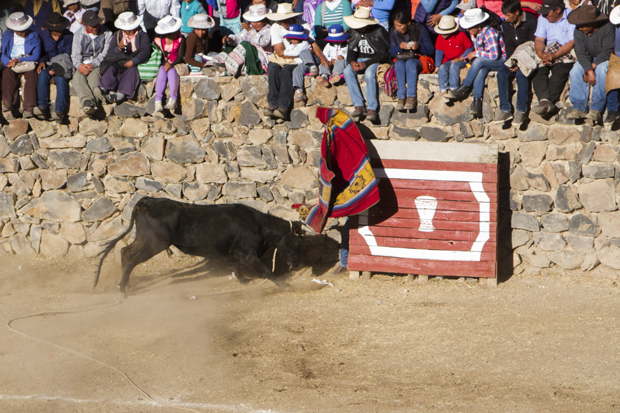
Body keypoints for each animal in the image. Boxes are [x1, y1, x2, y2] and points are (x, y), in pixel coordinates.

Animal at [94, 197, 304, 294]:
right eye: (298, 242)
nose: (296, 264)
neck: (259, 225)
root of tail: (148, 201)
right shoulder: (248, 254)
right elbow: (266, 271)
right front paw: (285, 285)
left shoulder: (232, 252)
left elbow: (235, 265)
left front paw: (243, 280)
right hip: (154, 243)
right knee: (130, 258)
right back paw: (122, 290)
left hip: (144, 239)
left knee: (124, 252)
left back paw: (125, 285)